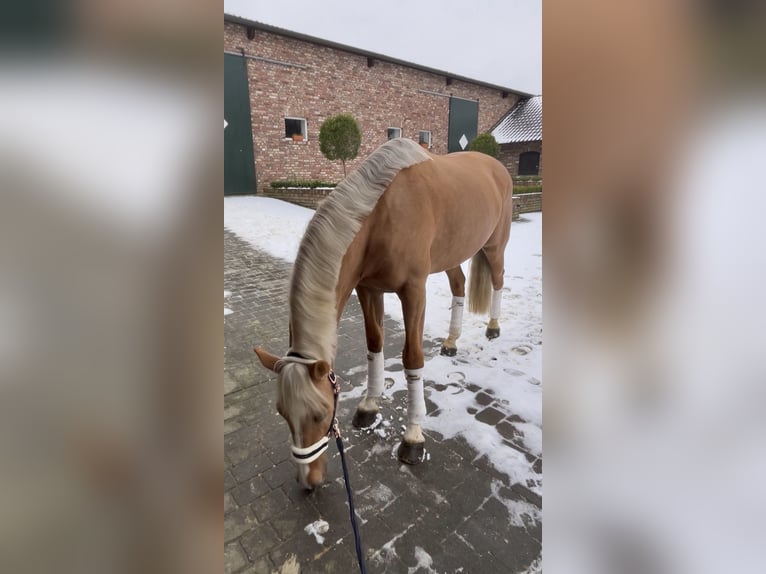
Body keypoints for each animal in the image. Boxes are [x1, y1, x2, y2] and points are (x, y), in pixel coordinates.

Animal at [255, 137, 513, 490]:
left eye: (320, 413)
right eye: (282, 413)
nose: (310, 480)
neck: (381, 216)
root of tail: (496, 166)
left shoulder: (413, 291)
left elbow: (412, 357)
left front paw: (413, 438)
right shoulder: (368, 289)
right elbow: (374, 343)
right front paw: (368, 408)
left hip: (494, 246)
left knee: (499, 280)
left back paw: (494, 327)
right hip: (451, 254)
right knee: (459, 285)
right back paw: (450, 342)